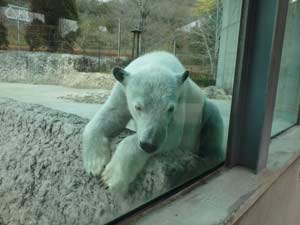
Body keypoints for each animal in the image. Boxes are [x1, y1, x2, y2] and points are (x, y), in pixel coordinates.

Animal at [83, 51, 224, 193]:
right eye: (138, 107)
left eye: (170, 108)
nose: (149, 145)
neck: (157, 60)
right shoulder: (122, 90)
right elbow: (112, 114)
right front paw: (94, 164)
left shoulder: (181, 99)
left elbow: (173, 134)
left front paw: (110, 178)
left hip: (203, 112)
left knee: (213, 119)